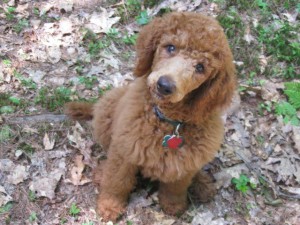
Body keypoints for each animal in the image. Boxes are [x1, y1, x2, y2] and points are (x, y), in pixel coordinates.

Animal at [65, 11, 237, 221]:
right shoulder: (126, 149)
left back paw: (201, 183)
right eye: (170, 47)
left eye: (200, 68)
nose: (164, 86)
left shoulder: (182, 166)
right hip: (107, 118)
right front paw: (110, 205)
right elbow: (117, 180)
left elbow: (175, 188)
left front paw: (173, 205)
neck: (169, 122)